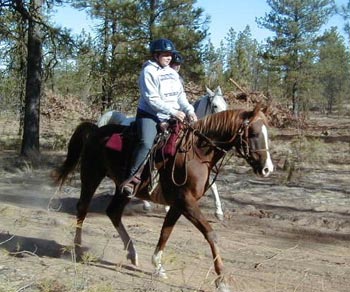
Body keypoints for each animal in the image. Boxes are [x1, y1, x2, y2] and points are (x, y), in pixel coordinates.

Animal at [53, 104, 274, 290]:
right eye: (254, 133)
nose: (267, 169)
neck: (197, 152)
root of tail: (95, 130)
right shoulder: (186, 202)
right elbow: (210, 234)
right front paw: (222, 280)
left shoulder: (178, 204)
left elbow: (166, 232)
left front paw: (158, 266)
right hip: (91, 176)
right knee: (83, 208)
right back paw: (78, 248)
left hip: (123, 189)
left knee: (113, 212)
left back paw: (132, 253)